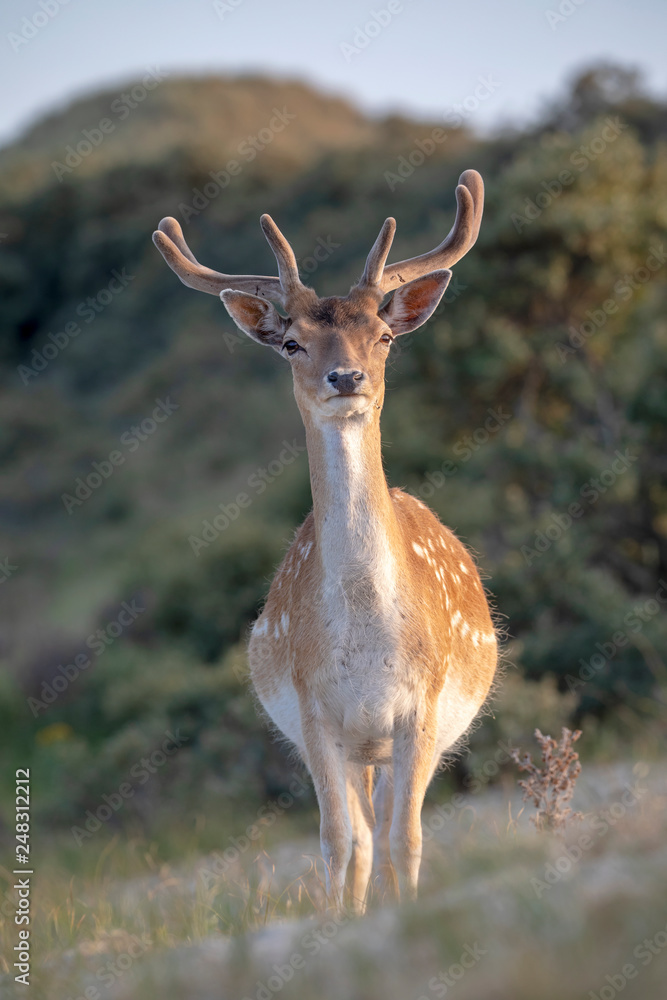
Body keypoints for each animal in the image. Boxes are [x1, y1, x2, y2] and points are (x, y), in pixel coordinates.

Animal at [152, 168, 498, 914]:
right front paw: (341, 922)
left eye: (384, 336)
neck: (367, 635)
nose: (346, 378)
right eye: (292, 343)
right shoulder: (316, 716)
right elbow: (340, 843)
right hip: (355, 749)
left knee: (390, 829)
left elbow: (406, 840)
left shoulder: (420, 708)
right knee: (361, 837)